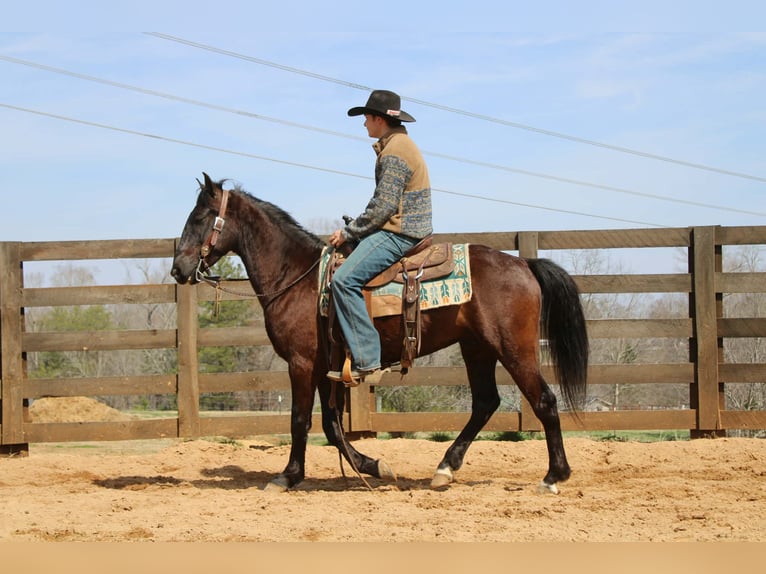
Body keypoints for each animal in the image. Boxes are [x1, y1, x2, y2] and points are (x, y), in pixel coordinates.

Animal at [171, 173, 589, 493]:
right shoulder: (327, 367)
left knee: (544, 402)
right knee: (485, 403)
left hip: (513, 349)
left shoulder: (301, 364)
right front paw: (373, 466)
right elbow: (332, 426)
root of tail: (524, 265)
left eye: (201, 217)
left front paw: (287, 476)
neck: (298, 278)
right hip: (477, 349)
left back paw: (553, 476)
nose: (178, 269)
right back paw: (444, 469)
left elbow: (301, 420)